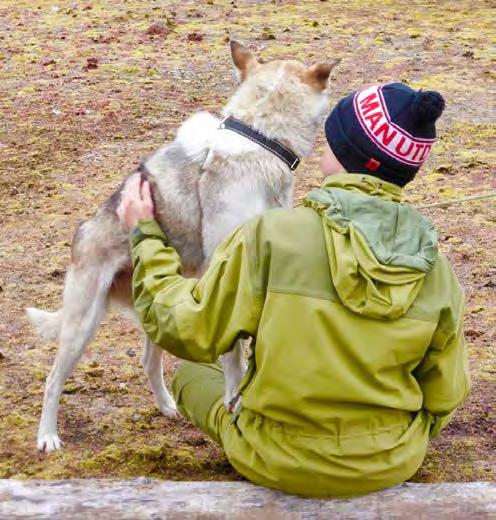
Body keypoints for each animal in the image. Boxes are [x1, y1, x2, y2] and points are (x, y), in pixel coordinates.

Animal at [26, 39, 340, 450]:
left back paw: (166, 406)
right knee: (52, 381)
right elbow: (234, 358)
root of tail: (85, 230)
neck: (260, 136)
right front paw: (234, 401)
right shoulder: (229, 278)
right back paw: (48, 436)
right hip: (83, 325)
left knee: (148, 360)